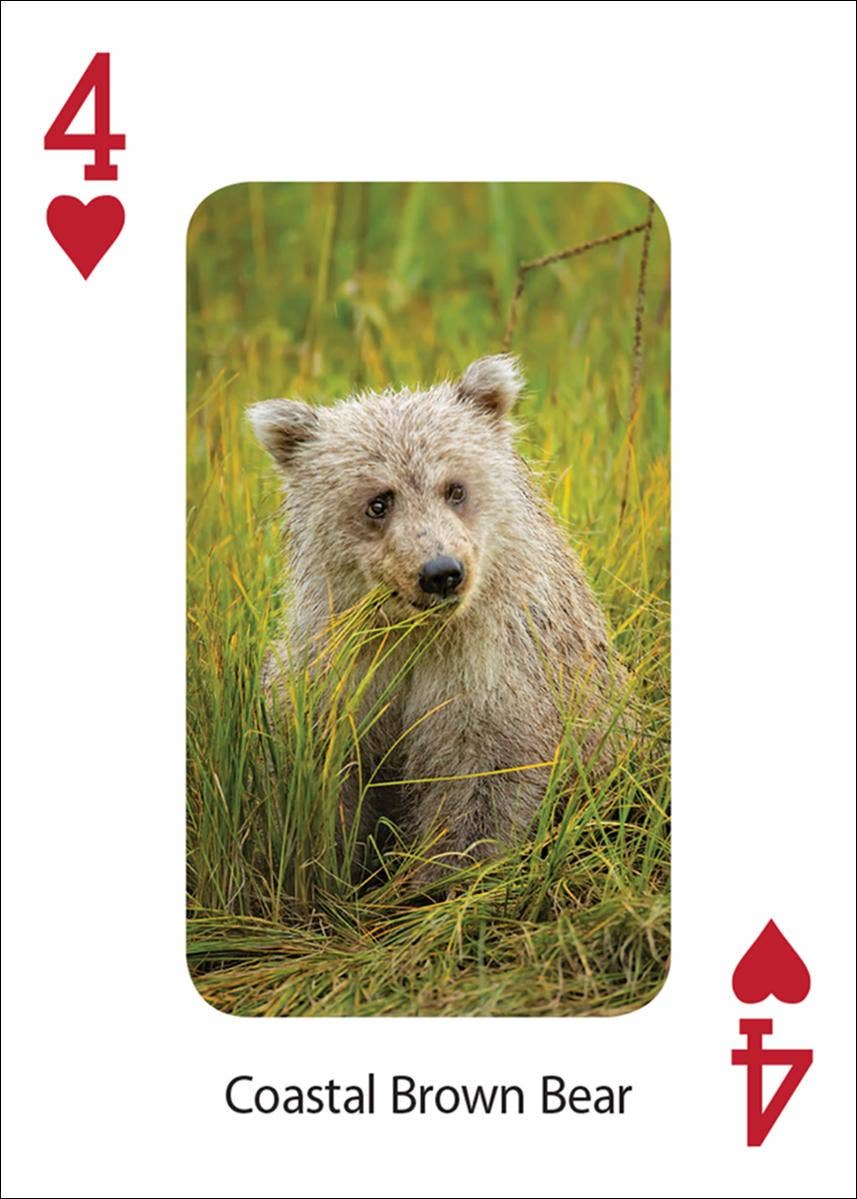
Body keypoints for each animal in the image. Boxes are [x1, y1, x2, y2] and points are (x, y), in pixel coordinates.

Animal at [248, 355, 631, 881]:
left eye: (455, 488)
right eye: (379, 501)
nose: (441, 572)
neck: (416, 636)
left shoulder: (492, 675)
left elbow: (478, 784)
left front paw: (442, 877)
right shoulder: (339, 670)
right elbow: (325, 778)